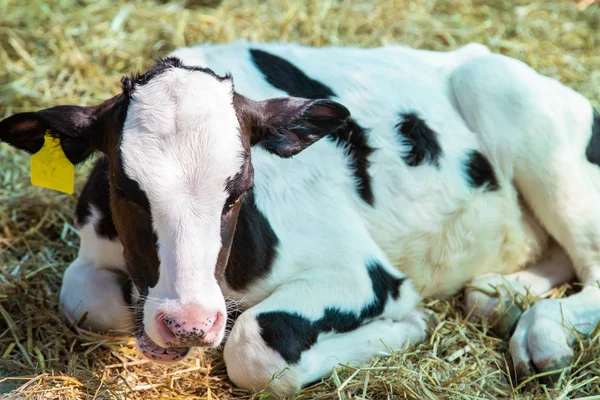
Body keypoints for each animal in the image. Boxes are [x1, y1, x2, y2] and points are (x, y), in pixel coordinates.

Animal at [1, 41, 600, 396]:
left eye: (240, 189)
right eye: (125, 188)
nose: (189, 323)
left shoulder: (361, 273)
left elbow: (255, 345)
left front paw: (404, 326)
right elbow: (84, 298)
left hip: (510, 101)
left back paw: (542, 332)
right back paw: (502, 293)